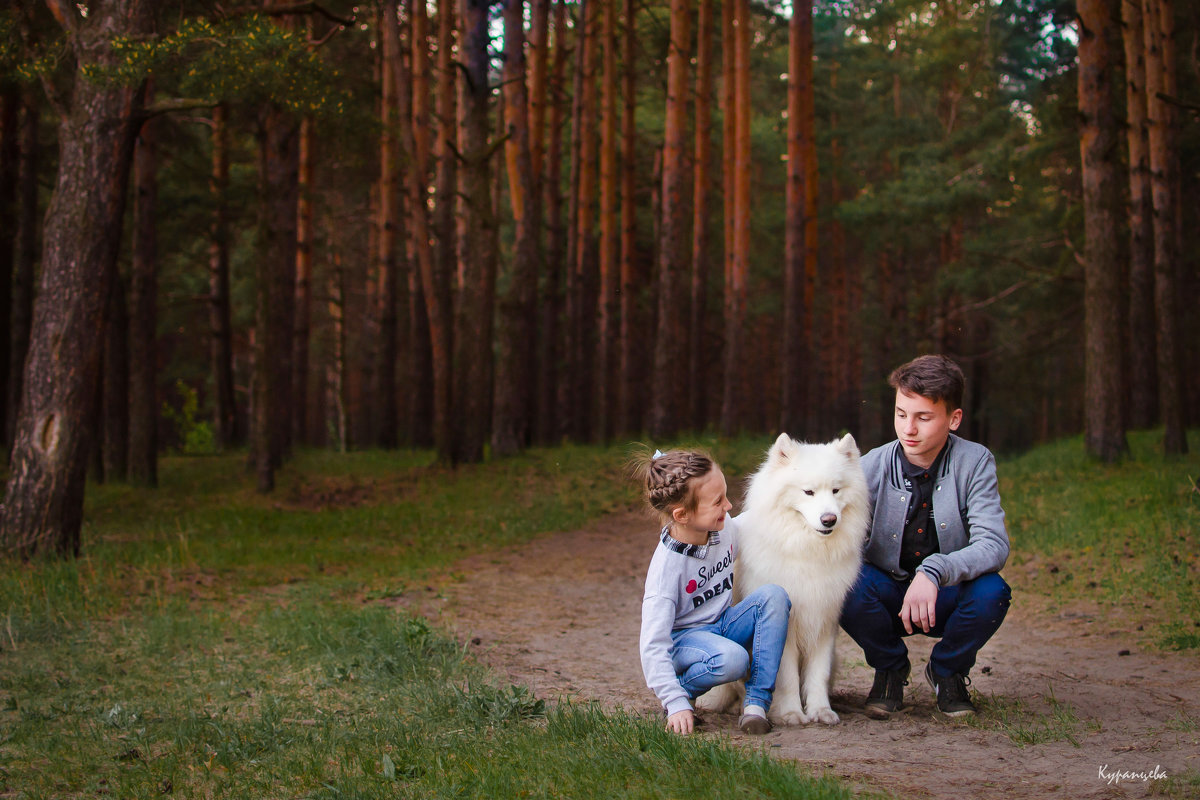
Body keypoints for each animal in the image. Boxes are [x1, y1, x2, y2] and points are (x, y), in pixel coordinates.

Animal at [696, 434, 873, 729]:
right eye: (808, 492)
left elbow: (818, 674)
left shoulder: (824, 622)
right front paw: (791, 713)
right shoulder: (786, 627)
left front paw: (820, 711)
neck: (807, 552)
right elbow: (787, 676)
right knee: (737, 687)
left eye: (836, 491)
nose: (829, 519)